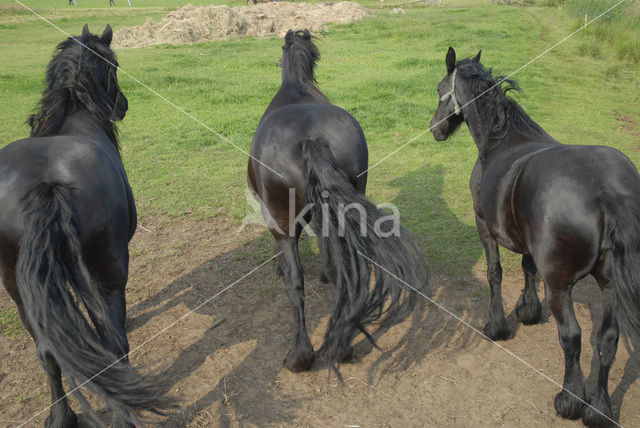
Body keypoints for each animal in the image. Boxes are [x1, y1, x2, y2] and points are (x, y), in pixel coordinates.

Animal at [0, 25, 175, 426]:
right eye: (114, 64)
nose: (123, 105)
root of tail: (48, 184)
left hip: (18, 285)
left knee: (50, 353)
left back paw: (63, 415)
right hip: (103, 273)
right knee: (110, 346)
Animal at [248, 30, 428, 374]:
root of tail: (312, 140)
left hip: (282, 223)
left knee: (296, 283)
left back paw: (300, 356)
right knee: (344, 272)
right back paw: (342, 346)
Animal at [430, 45, 640, 426]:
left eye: (440, 88)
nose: (434, 129)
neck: (502, 141)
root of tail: (607, 191)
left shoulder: (484, 229)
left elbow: (495, 274)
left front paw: (497, 325)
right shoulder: (527, 242)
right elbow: (528, 267)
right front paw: (528, 310)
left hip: (560, 286)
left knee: (572, 338)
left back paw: (570, 400)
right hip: (610, 284)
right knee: (608, 340)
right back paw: (598, 409)